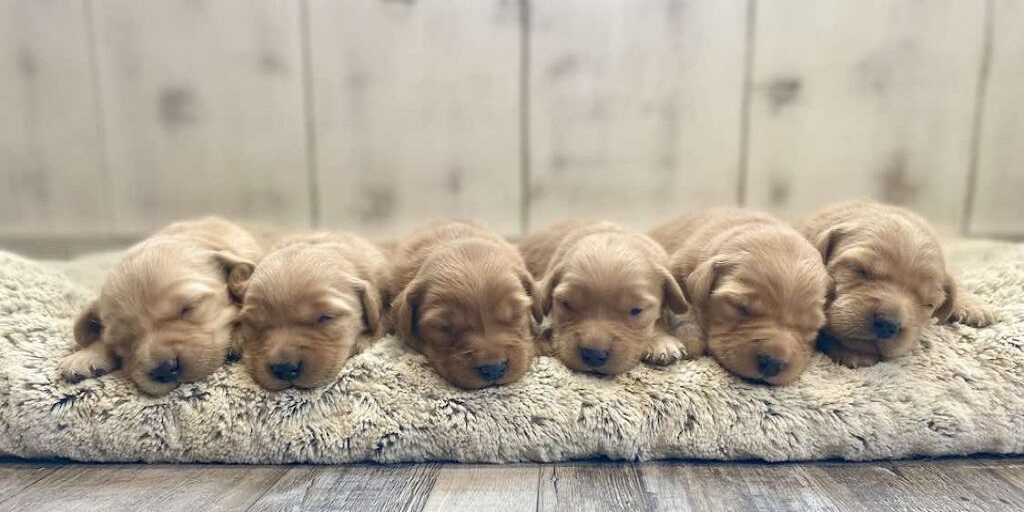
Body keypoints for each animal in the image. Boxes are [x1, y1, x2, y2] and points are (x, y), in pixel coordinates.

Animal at [650, 209, 830, 385]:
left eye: (811, 327)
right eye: (741, 307)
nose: (772, 363)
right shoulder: (677, 267)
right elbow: (682, 308)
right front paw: (689, 339)